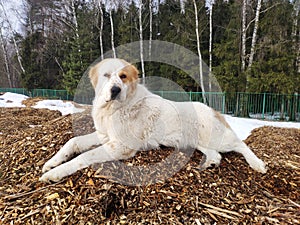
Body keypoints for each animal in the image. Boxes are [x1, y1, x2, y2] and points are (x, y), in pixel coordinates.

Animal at [39, 58, 268, 183]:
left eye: (123, 76)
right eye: (106, 75)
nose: (115, 90)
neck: (113, 109)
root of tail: (213, 110)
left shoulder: (121, 147)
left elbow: (83, 157)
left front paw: (56, 173)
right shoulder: (104, 136)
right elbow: (73, 142)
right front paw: (51, 163)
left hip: (218, 139)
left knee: (240, 144)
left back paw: (257, 164)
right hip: (197, 142)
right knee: (216, 154)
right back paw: (212, 162)